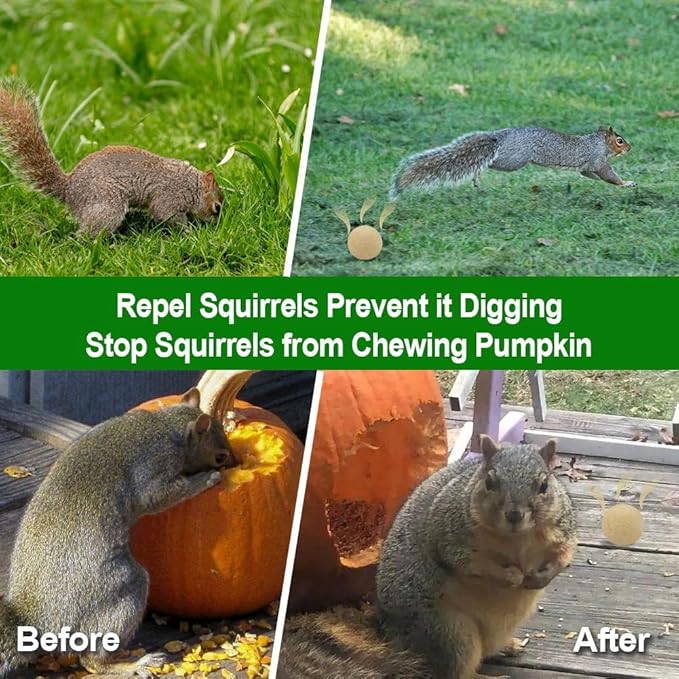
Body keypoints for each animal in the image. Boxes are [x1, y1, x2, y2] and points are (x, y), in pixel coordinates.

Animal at [0, 78, 224, 236]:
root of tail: (69, 190)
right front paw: (189, 232)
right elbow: (165, 213)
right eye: (217, 207)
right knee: (86, 234)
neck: (191, 185)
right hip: (107, 205)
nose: (216, 226)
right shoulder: (170, 196)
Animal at [0, 388, 237, 678]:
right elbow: (165, 494)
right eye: (219, 456)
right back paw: (133, 665)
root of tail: (36, 620)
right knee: (93, 661)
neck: (168, 426)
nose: (233, 462)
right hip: (120, 593)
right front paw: (207, 479)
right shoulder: (156, 471)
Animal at [278, 436, 577, 679]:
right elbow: (473, 565)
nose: (514, 515)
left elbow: (565, 555)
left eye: (544, 484)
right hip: (449, 634)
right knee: (459, 672)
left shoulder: (563, 530)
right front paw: (513, 576)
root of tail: (391, 635)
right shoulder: (451, 537)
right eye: (490, 481)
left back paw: (508, 646)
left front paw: (541, 577)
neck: (518, 538)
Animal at [390, 126, 635, 198]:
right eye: (620, 140)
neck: (598, 142)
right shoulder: (598, 160)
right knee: (485, 162)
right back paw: (477, 175)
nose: (630, 148)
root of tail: (499, 138)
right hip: (513, 159)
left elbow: (590, 175)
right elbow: (610, 175)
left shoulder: (587, 167)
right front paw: (627, 184)